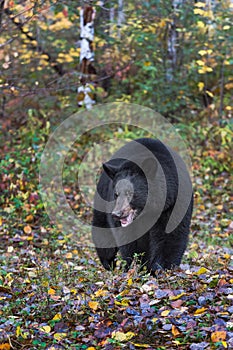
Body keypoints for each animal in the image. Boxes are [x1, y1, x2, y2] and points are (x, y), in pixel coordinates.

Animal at [91, 138, 193, 272]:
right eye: (116, 194)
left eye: (130, 193)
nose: (117, 214)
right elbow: (128, 240)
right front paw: (135, 266)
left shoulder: (174, 203)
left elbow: (171, 234)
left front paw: (162, 268)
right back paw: (109, 263)